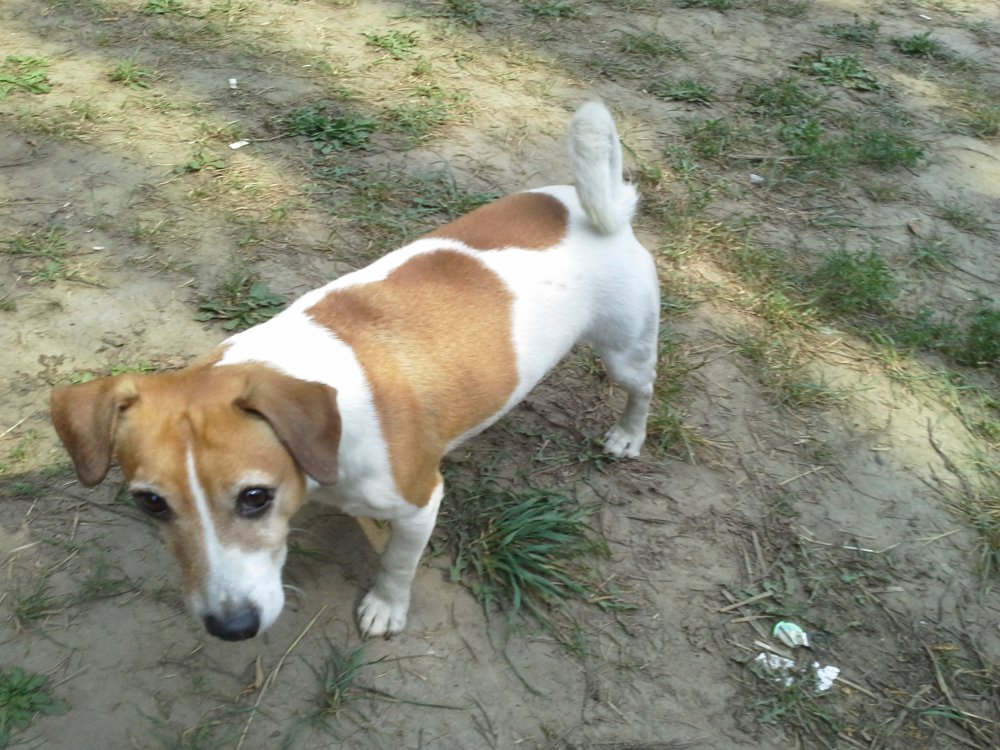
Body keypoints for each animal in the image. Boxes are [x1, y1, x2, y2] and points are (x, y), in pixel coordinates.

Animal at [50, 101, 660, 642]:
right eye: (151, 503)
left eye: (255, 497)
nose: (231, 627)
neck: (334, 420)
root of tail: (602, 214)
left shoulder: (419, 505)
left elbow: (396, 564)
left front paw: (386, 608)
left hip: (626, 351)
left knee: (642, 391)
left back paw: (627, 436)